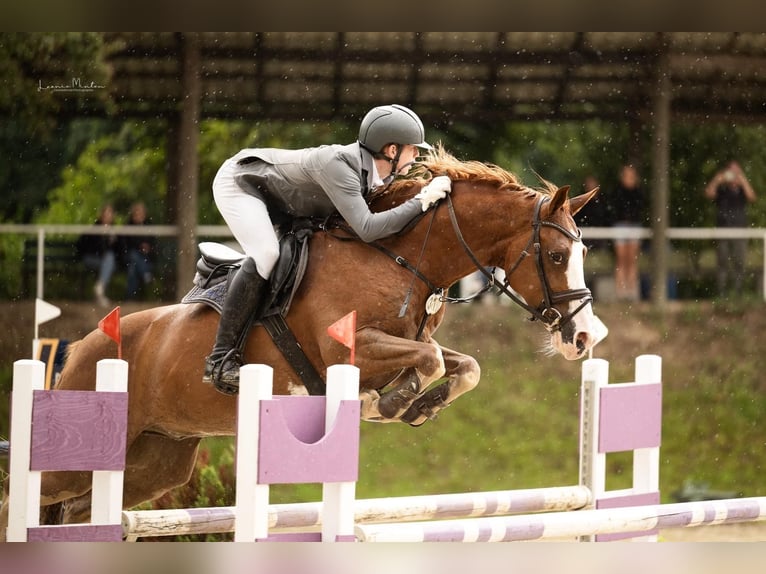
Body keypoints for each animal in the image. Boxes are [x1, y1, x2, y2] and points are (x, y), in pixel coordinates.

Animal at [1, 147, 600, 532]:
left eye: (584, 252)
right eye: (555, 256)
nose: (584, 337)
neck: (398, 255)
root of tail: (77, 351)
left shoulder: (405, 341)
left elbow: (464, 365)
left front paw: (419, 405)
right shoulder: (352, 349)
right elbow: (428, 359)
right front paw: (392, 403)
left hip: (157, 461)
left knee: (79, 513)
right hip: (79, 457)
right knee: (22, 498)